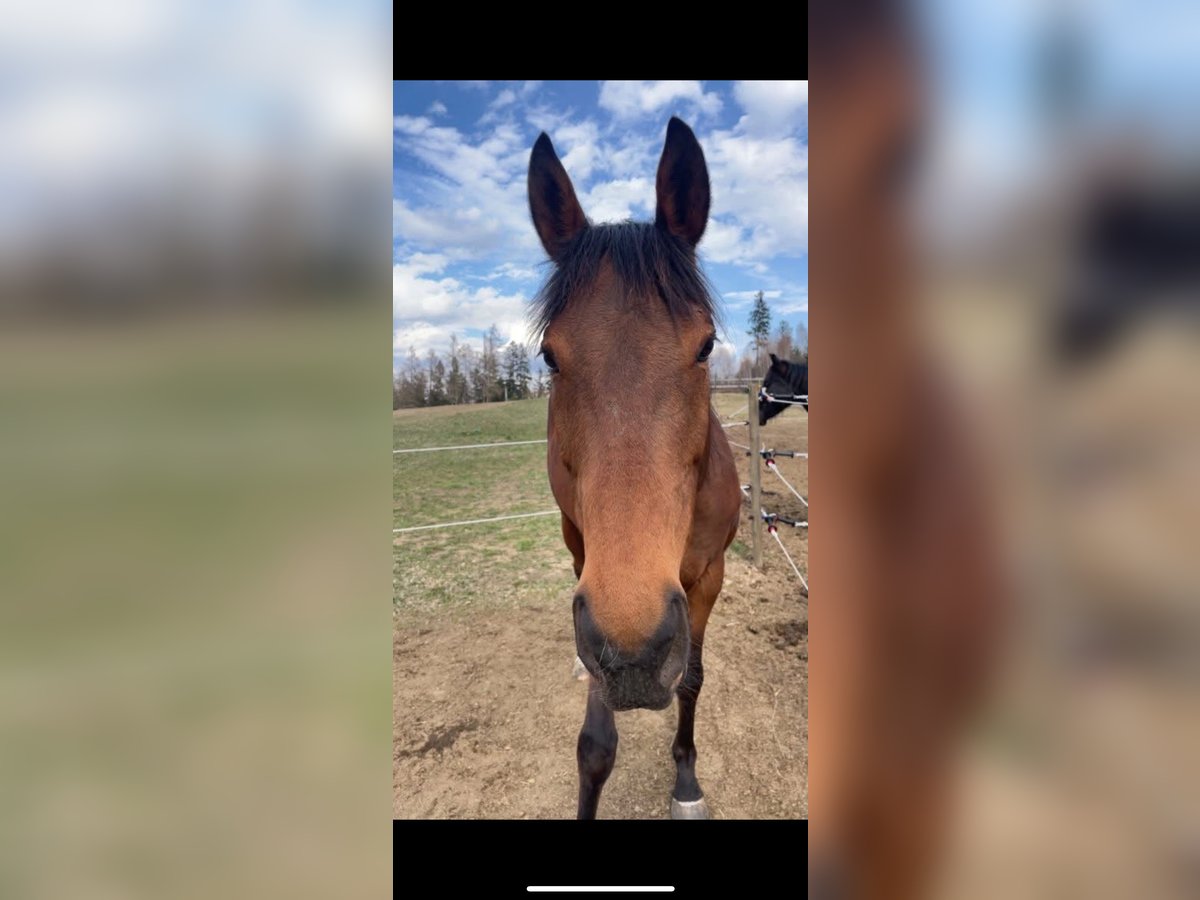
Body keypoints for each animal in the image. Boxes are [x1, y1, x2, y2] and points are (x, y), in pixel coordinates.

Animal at [526, 117, 742, 820]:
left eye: (705, 346)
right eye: (550, 357)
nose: (637, 655)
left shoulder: (707, 577)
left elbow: (693, 679)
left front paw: (686, 782)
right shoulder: (595, 597)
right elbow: (596, 746)